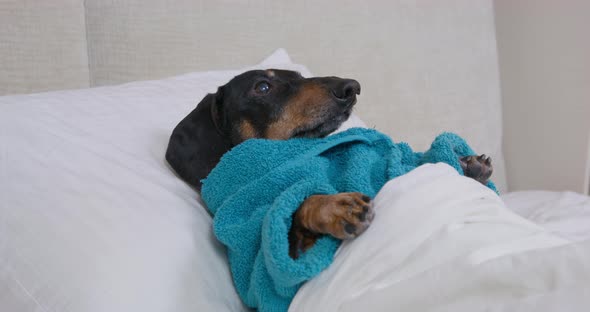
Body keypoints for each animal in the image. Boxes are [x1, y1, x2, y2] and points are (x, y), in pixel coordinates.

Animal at [168, 70, 494, 258]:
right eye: (262, 87)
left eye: (299, 76)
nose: (352, 87)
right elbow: (296, 204)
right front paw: (335, 206)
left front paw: (463, 162)